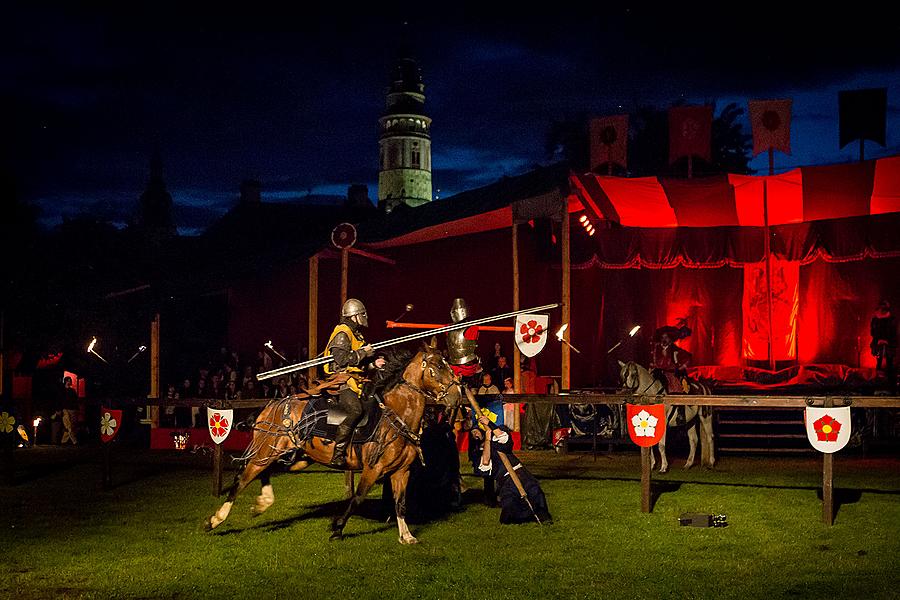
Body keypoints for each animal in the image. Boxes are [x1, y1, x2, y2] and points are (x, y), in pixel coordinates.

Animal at [207, 342, 460, 544]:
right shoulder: (373, 468)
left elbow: (400, 503)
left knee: (264, 472)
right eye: (438, 366)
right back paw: (216, 519)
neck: (396, 414)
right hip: (265, 451)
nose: (456, 395)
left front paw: (406, 535)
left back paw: (262, 502)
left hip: (291, 456)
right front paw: (337, 529)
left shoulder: (401, 472)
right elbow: (357, 497)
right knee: (243, 478)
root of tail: (272, 406)